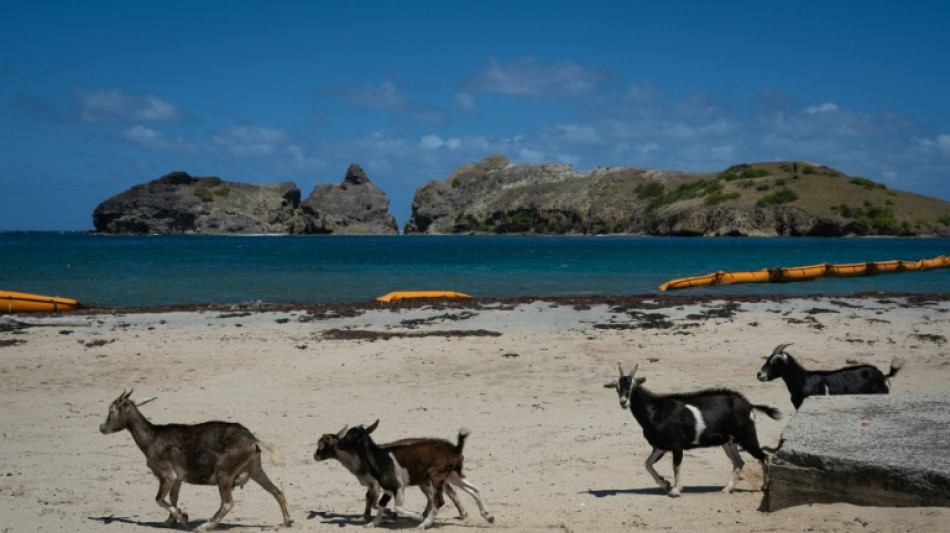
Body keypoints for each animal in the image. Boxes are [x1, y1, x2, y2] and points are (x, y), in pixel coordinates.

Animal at [99, 390, 293, 530]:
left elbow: (159, 499)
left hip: (224, 473)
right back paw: (287, 521)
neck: (152, 438)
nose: (101, 427)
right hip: (255, 470)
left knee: (228, 503)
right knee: (277, 491)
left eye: (111, 410)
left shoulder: (166, 475)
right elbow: (173, 497)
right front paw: (170, 521)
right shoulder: (178, 478)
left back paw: (205, 526)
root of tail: (253, 440)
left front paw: (183, 518)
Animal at [314, 426, 467, 521]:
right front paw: (366, 516)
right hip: (426, 481)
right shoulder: (372, 484)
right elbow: (368, 499)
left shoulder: (376, 483)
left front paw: (391, 514)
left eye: (320, 445)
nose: (314, 456)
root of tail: (453, 449)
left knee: (444, 494)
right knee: (439, 495)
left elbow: (373, 502)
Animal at [335, 420, 495, 529]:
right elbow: (381, 504)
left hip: (437, 477)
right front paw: (373, 523)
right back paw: (488, 516)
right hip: (453, 475)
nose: (338, 444)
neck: (379, 458)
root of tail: (456, 448)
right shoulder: (388, 488)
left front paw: (418, 517)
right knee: (475, 489)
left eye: (351, 436)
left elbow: (398, 508)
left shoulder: (398, 486)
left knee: (439, 501)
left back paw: (424, 524)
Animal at [605, 363, 781, 497]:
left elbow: (676, 465)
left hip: (747, 436)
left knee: (764, 456)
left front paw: (675, 490)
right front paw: (665, 483)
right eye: (617, 388)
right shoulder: (660, 446)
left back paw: (765, 487)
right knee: (739, 462)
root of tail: (749, 405)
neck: (655, 410)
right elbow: (647, 464)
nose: (624, 402)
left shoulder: (676, 444)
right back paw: (727, 488)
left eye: (633, 386)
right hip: (729, 441)